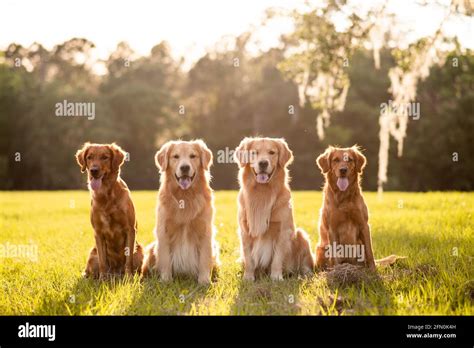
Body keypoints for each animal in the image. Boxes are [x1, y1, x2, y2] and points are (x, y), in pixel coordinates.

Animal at [74, 143, 143, 278]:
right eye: (89, 157)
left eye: (105, 157)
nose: (94, 170)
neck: (107, 196)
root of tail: (116, 272)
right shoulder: (98, 232)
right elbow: (103, 261)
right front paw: (103, 279)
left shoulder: (130, 229)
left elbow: (128, 259)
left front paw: (129, 277)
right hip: (92, 254)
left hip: (139, 251)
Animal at [142, 139, 219, 282]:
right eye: (175, 156)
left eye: (193, 156)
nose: (184, 167)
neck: (185, 196)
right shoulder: (164, 230)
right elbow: (165, 259)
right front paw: (166, 281)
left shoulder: (205, 230)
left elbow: (204, 259)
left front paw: (204, 281)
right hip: (151, 249)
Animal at [234, 136, 314, 280]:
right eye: (254, 153)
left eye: (272, 152)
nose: (263, 163)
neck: (262, 192)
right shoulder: (244, 232)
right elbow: (249, 259)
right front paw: (248, 277)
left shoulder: (283, 230)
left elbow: (277, 258)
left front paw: (276, 277)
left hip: (301, 235)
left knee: (305, 263)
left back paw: (305, 274)